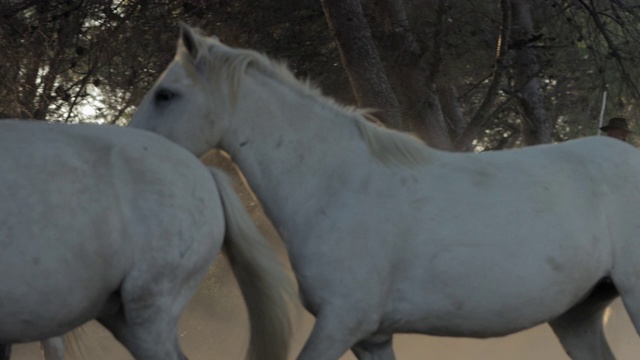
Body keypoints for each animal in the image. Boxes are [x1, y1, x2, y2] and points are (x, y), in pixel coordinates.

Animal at [129, 23, 640, 358]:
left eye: (166, 95)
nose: (131, 144)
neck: (335, 184)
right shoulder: (371, 337)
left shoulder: (340, 323)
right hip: (576, 317)